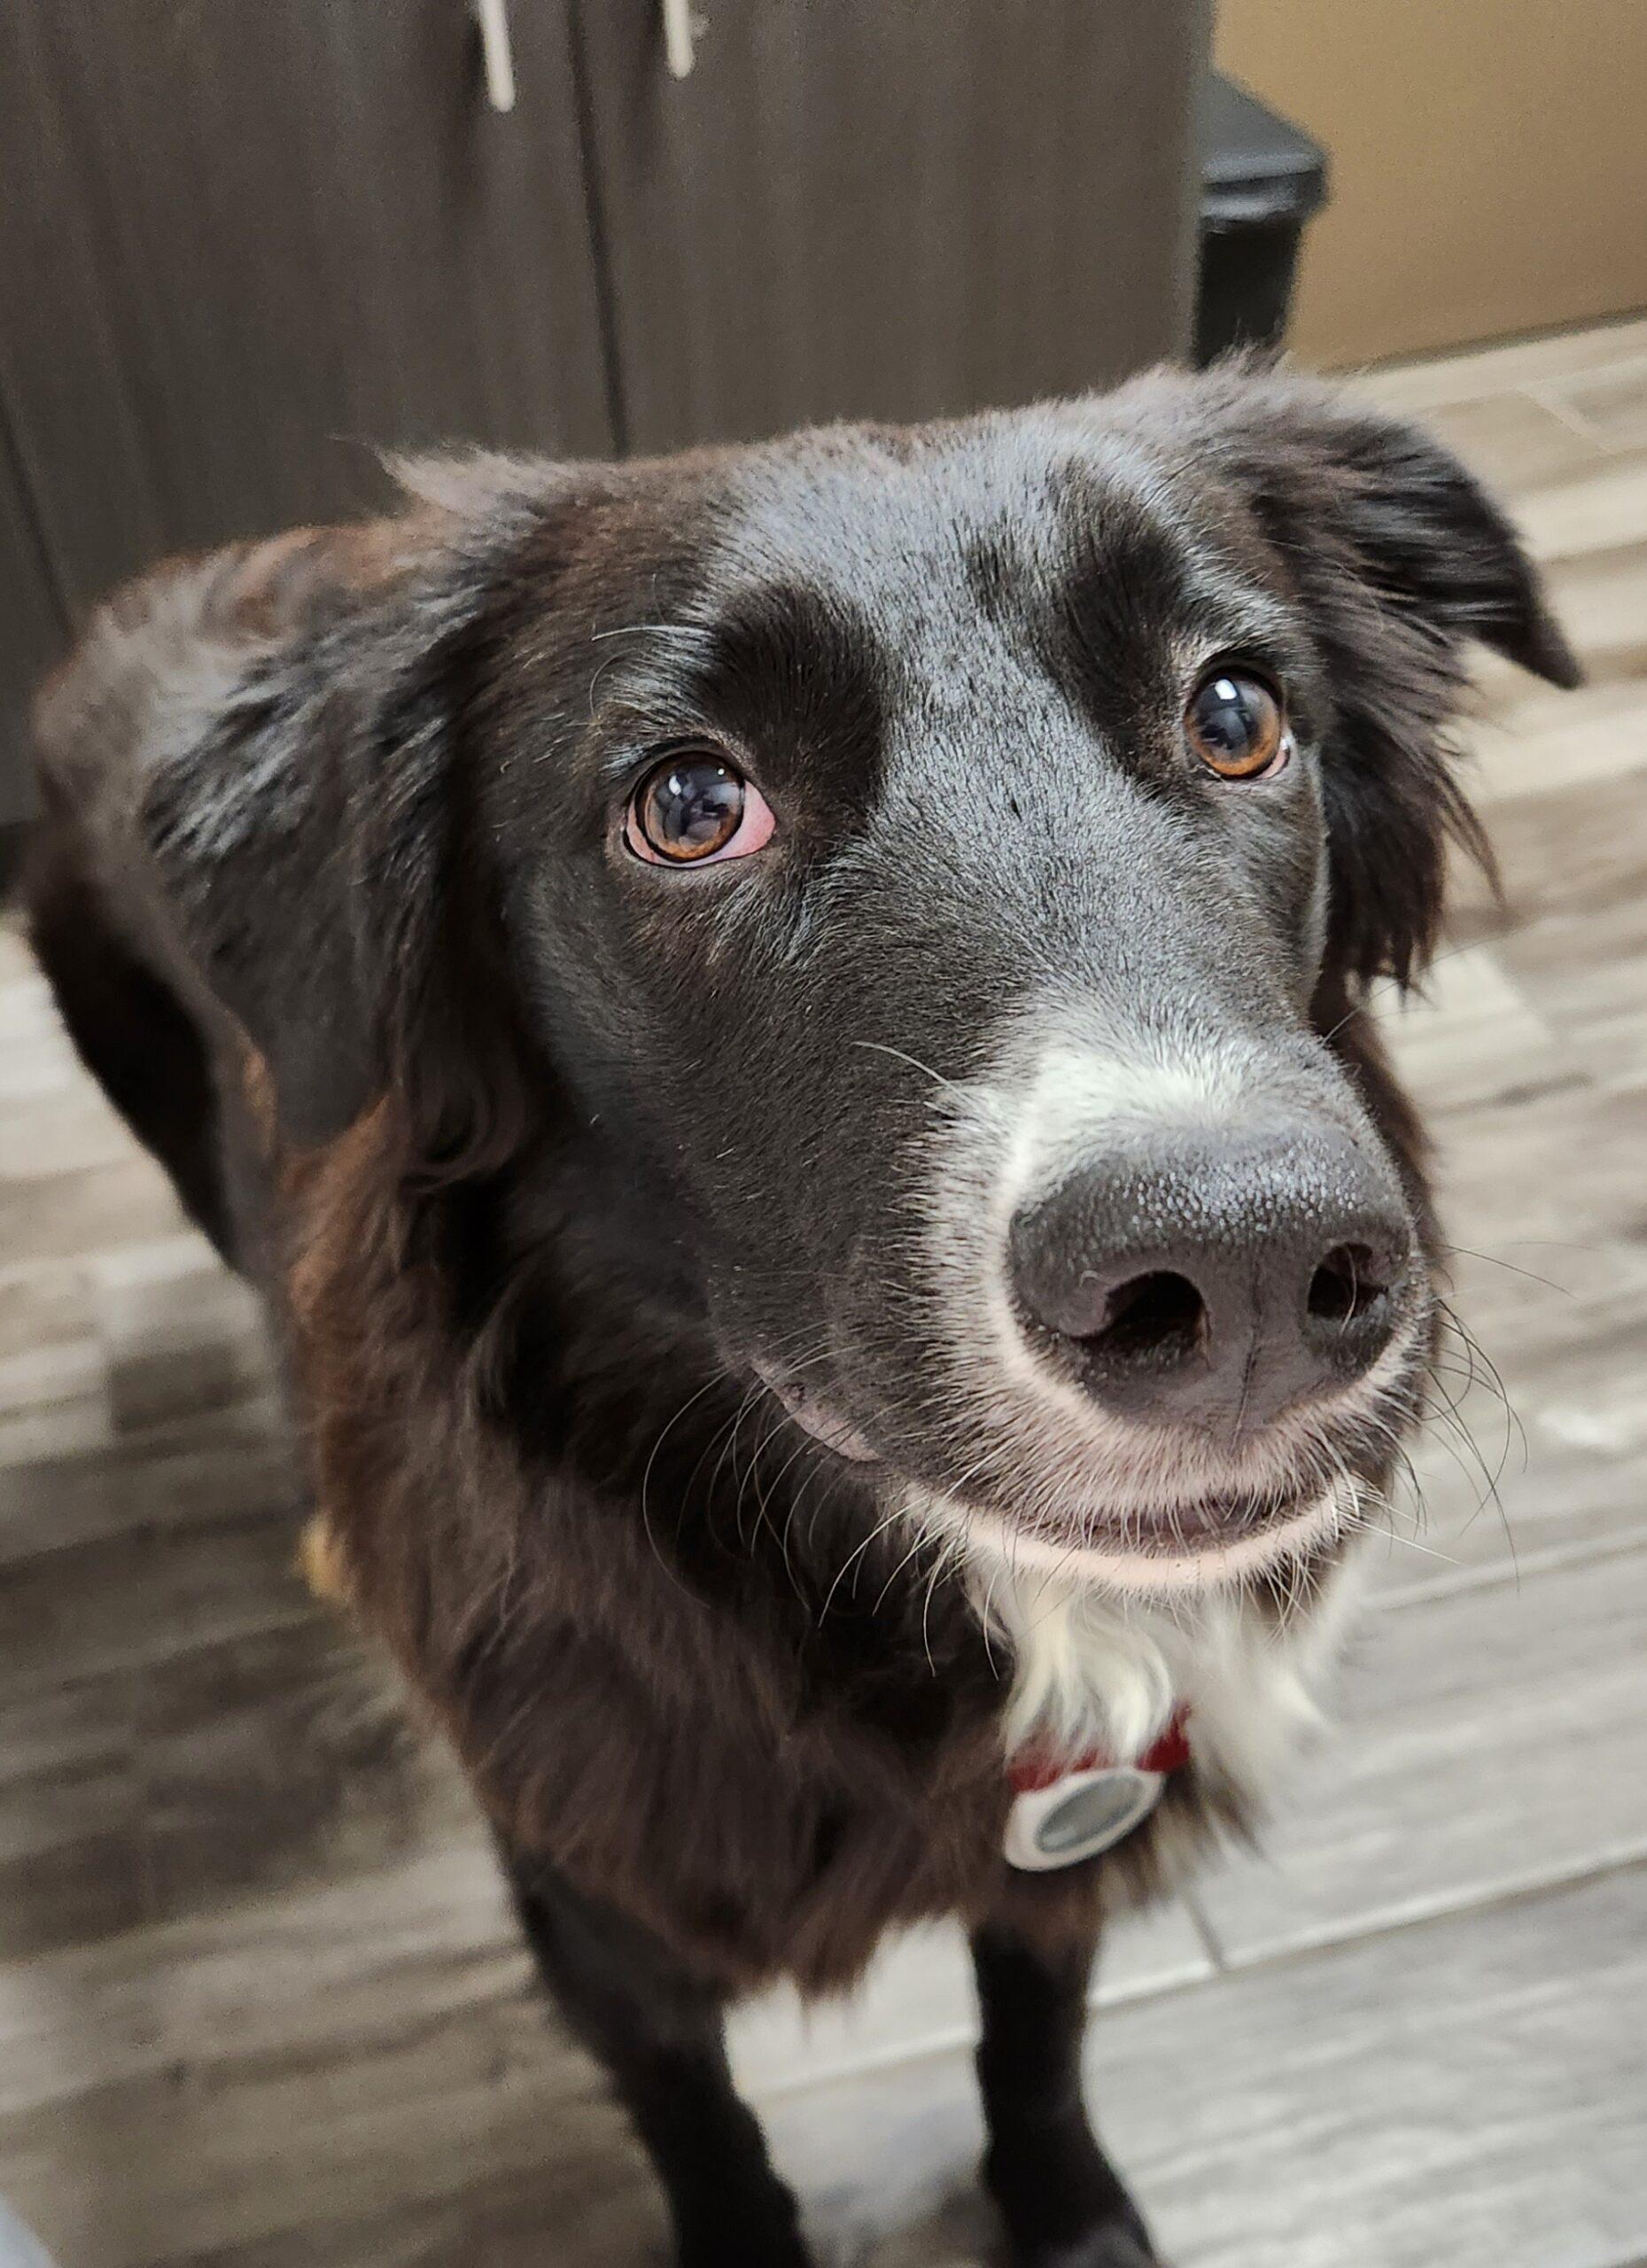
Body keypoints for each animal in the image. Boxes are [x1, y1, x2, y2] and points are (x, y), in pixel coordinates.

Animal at [19, 362, 1579, 2258]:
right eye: (691, 805)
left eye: (1232, 712)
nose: (1249, 1270)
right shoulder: (598, 1919)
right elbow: (702, 2130)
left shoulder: (1048, 1855)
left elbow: (1034, 2039)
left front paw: (1063, 2211)